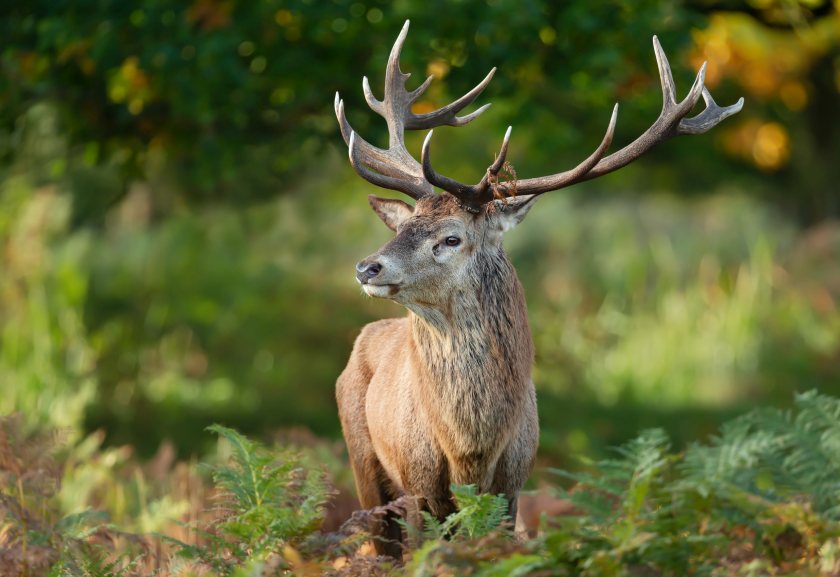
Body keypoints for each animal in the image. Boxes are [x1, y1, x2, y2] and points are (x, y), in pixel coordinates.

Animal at [334, 20, 742, 558]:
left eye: (451, 237)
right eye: (405, 226)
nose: (367, 267)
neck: (471, 448)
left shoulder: (514, 480)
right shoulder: (416, 481)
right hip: (363, 462)